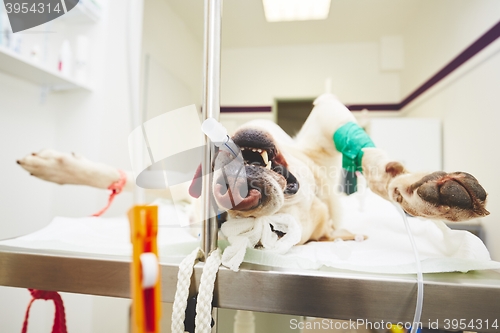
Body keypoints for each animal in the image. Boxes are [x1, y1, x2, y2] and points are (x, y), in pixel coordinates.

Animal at [18, 94, 488, 248]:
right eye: (221, 222)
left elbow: (377, 168)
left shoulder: (326, 118)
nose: (238, 198)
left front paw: (419, 190)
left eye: (276, 233)